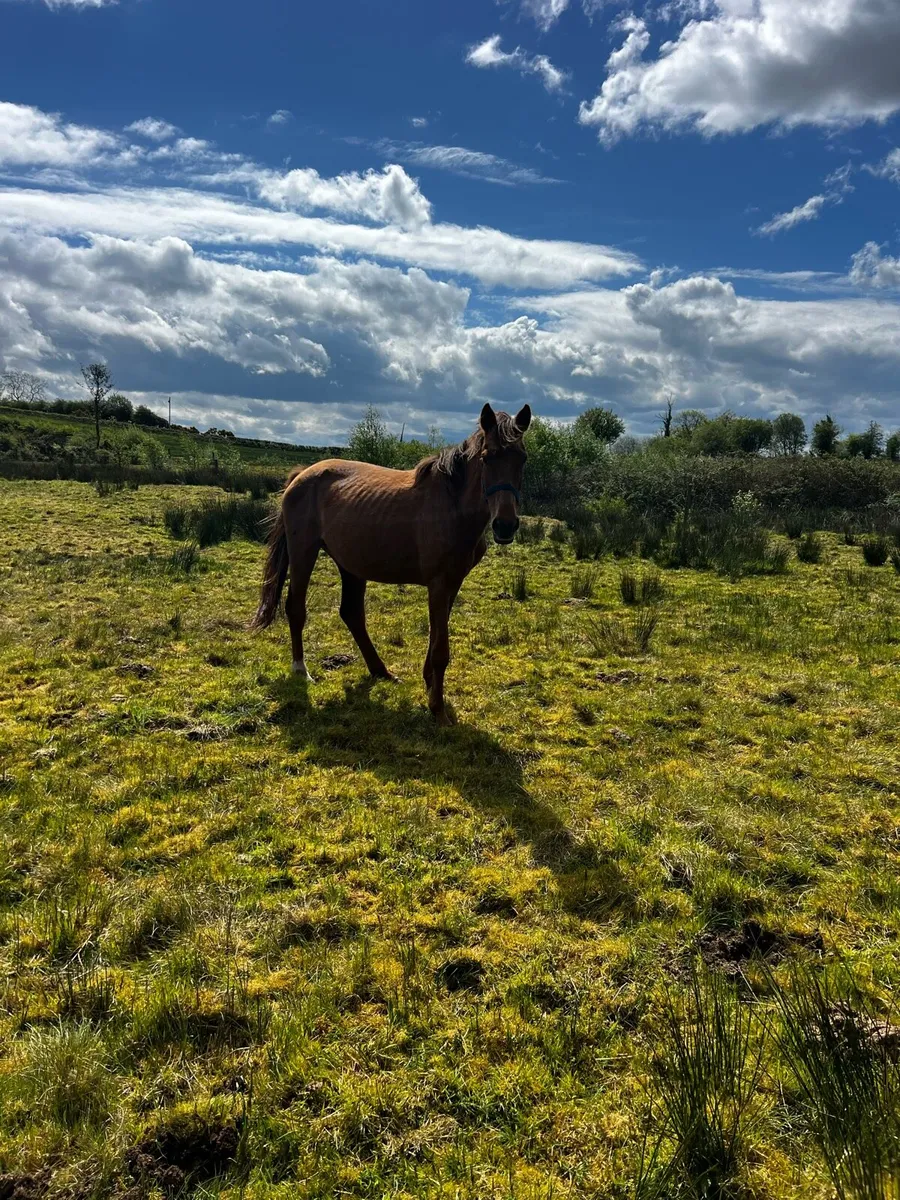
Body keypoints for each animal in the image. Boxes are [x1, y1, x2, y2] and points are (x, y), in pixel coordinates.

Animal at [251, 403, 532, 725]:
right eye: (487, 458)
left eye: (522, 459)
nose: (505, 526)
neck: (452, 508)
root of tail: (302, 475)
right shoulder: (438, 583)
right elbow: (440, 649)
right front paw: (438, 710)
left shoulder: (453, 582)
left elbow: (436, 636)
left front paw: (429, 685)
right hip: (303, 553)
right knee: (296, 609)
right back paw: (302, 670)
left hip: (351, 565)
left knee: (352, 614)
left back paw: (381, 671)